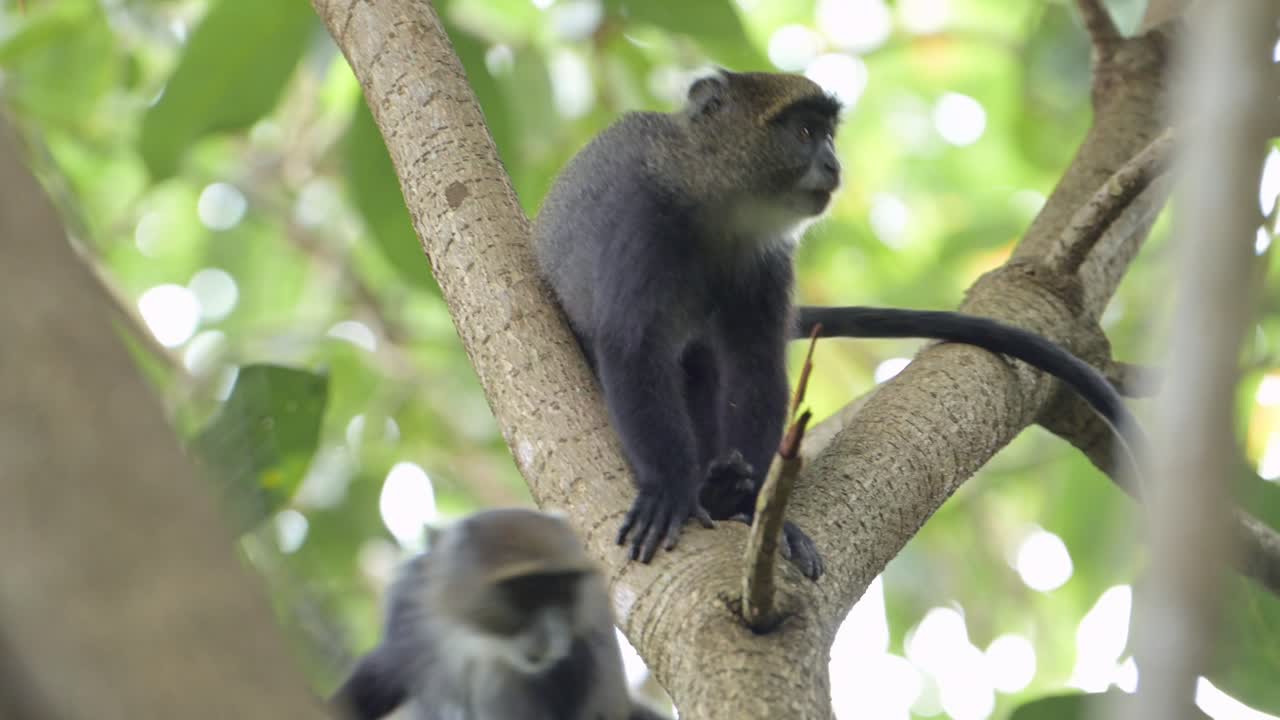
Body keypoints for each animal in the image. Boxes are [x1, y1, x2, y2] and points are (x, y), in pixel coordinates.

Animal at [332, 508, 669, 720]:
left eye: (561, 588)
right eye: (526, 590)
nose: (552, 634)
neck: (476, 636)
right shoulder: (410, 606)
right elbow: (379, 676)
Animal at [532, 69, 1142, 580]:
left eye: (829, 136)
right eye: (805, 132)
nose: (834, 165)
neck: (709, 198)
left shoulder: (765, 261)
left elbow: (754, 364)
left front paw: (752, 508)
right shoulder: (640, 219)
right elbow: (633, 345)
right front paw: (670, 489)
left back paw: (725, 488)